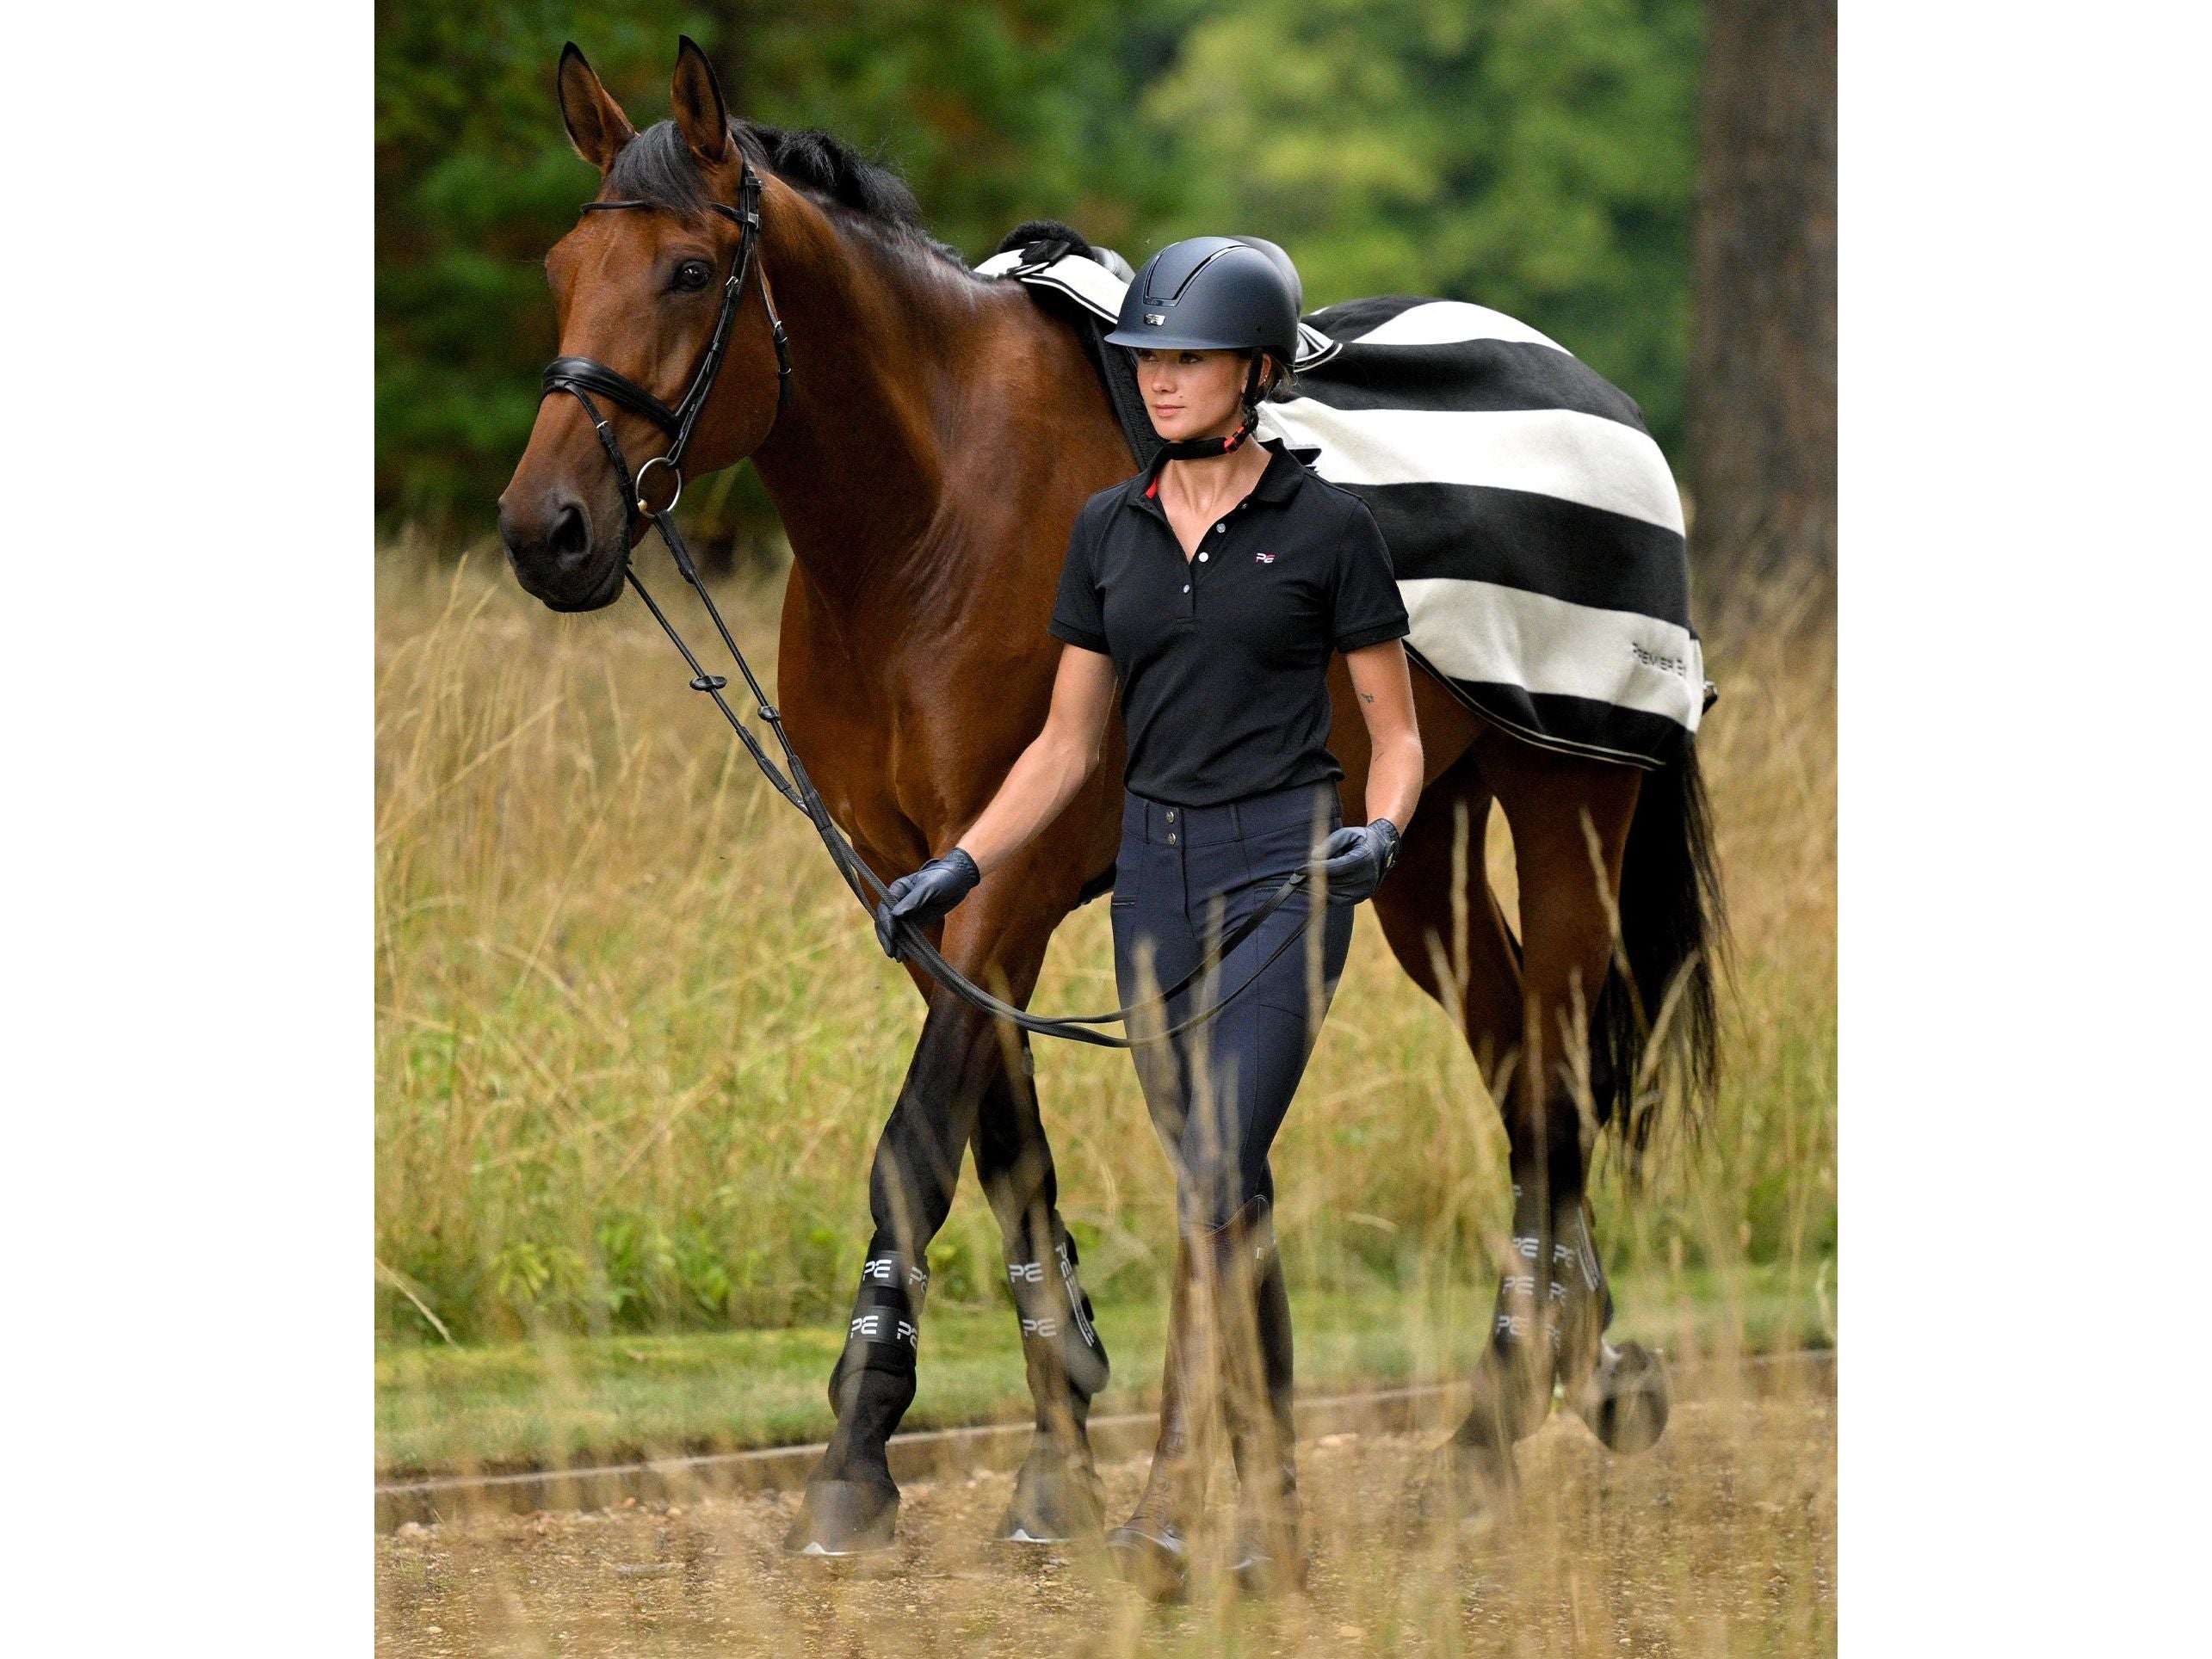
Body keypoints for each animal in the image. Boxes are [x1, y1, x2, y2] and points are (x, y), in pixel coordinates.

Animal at [496, 38, 1721, 1556]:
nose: (545, 531)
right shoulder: (922, 888)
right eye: (562, 265)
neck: (931, 514)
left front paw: (858, 1451)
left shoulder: (1007, 880)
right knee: (1512, 1062)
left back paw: (1493, 1435)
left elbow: (918, 1146)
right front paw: (1057, 1452)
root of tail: (1604, 405)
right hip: (1416, 843)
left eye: (682, 270)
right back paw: (1579, 1358)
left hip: (1566, 803)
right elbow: (1006, 1152)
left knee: (1552, 1081)